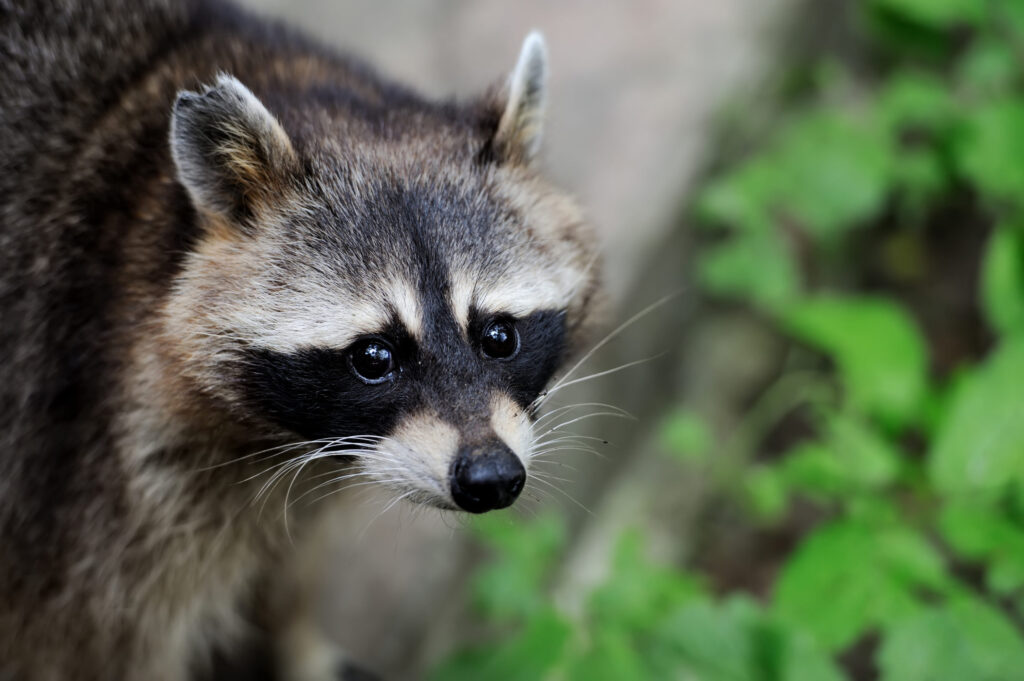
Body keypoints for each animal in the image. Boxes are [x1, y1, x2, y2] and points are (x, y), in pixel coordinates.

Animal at [0, 1, 598, 679]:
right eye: (374, 357)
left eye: (499, 336)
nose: (491, 477)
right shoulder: (88, 481)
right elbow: (96, 646)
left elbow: (292, 559)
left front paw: (295, 635)